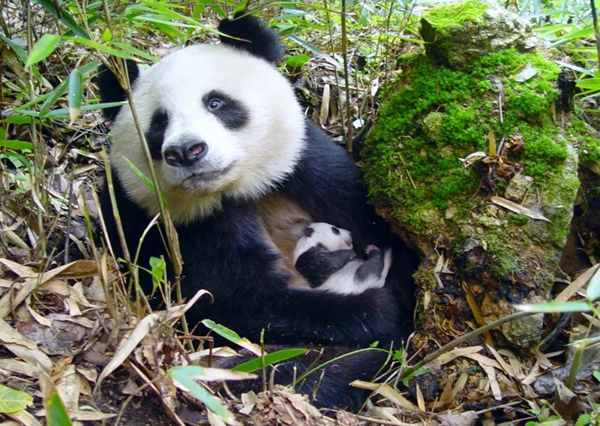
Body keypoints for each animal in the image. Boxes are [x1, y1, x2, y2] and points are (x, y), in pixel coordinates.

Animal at [96, 13, 417, 411]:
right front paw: (375, 309)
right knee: (283, 367)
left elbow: (375, 221)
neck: (237, 188)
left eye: (216, 103)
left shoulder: (305, 167)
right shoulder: (179, 229)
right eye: (158, 123)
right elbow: (248, 304)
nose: (186, 151)